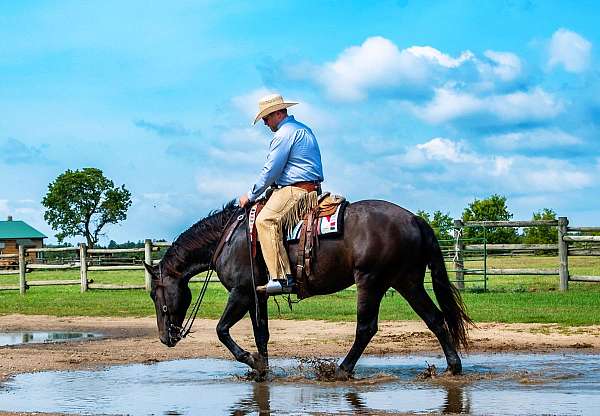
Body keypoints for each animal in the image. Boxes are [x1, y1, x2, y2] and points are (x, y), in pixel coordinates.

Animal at [145, 200, 474, 378]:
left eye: (154, 293)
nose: (164, 338)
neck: (230, 237)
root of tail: (415, 219)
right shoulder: (257, 295)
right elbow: (261, 334)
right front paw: (262, 370)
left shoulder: (240, 293)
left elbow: (221, 330)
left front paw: (251, 361)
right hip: (406, 281)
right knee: (435, 318)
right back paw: (453, 367)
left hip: (371, 282)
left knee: (366, 328)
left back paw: (341, 369)